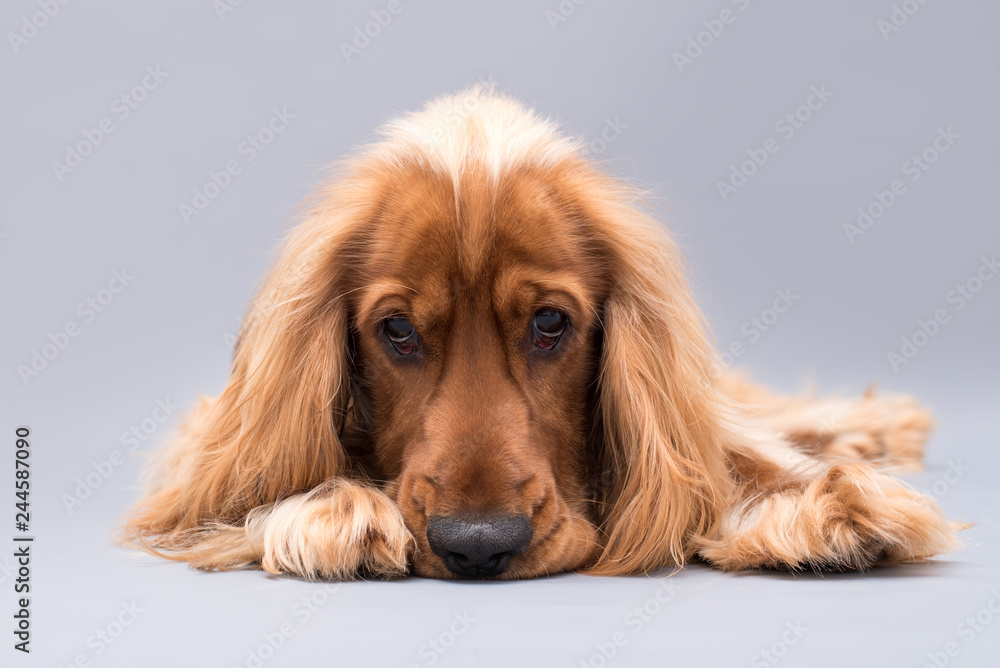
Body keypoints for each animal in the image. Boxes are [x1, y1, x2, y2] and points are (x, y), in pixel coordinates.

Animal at [119, 87, 960, 580]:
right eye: (397, 331)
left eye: (551, 323)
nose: (477, 544)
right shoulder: (208, 436)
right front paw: (329, 507)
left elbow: (721, 451)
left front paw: (809, 500)